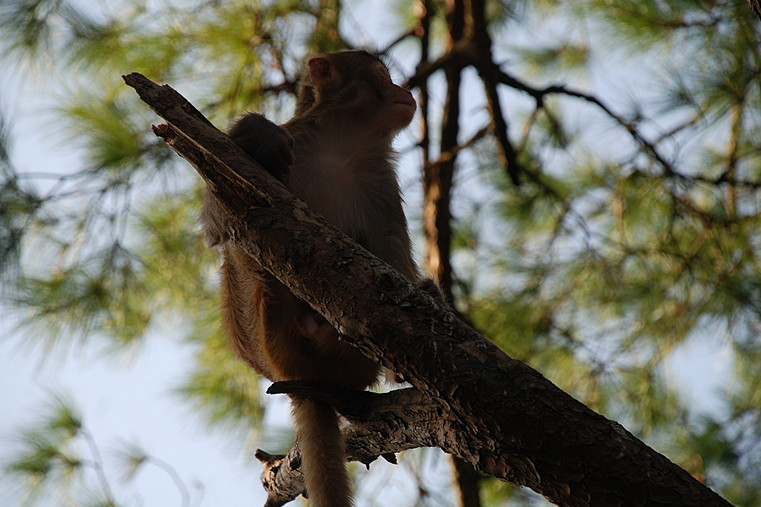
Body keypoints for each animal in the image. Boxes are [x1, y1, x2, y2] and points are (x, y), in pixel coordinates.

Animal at [199, 50, 418, 507]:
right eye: (382, 73)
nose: (406, 90)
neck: (342, 148)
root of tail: (303, 380)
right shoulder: (296, 138)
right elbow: (217, 219)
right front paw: (256, 132)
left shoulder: (381, 182)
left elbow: (391, 248)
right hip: (265, 333)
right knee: (246, 238)